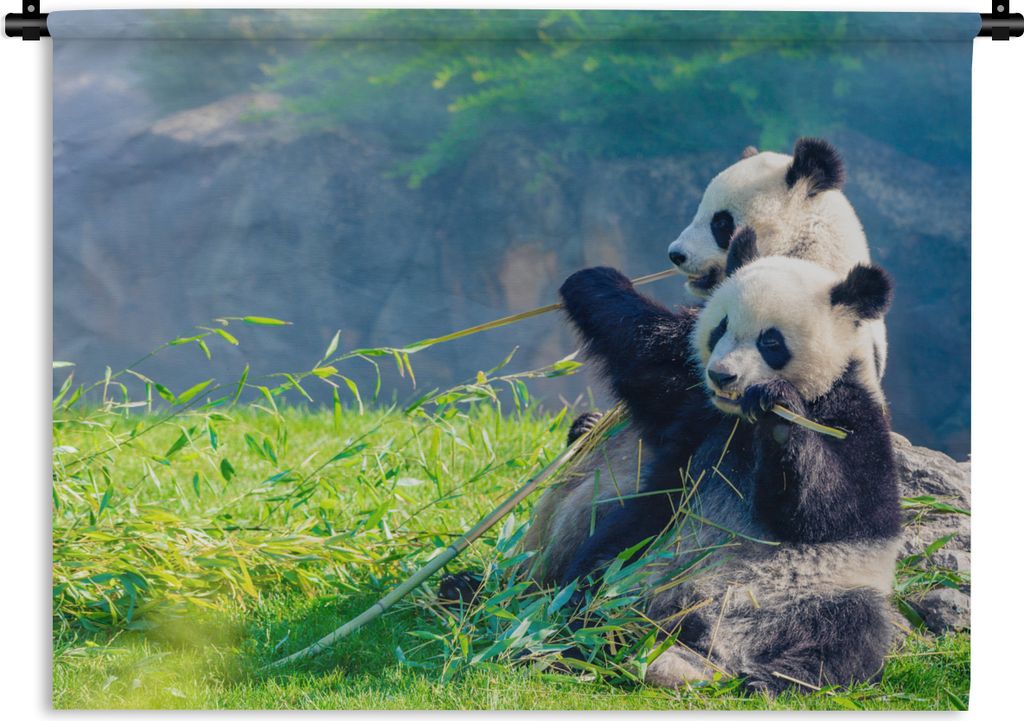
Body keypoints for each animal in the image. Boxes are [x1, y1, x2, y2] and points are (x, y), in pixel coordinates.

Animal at [540, 243, 902, 693]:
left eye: (771, 340)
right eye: (720, 328)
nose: (722, 375)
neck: (740, 422)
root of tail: (708, 636)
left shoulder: (854, 414)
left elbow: (836, 507)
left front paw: (778, 415)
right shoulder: (697, 405)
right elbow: (649, 355)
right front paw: (593, 280)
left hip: (822, 589)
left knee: (851, 632)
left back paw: (770, 678)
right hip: (646, 550)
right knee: (598, 573)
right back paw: (579, 635)